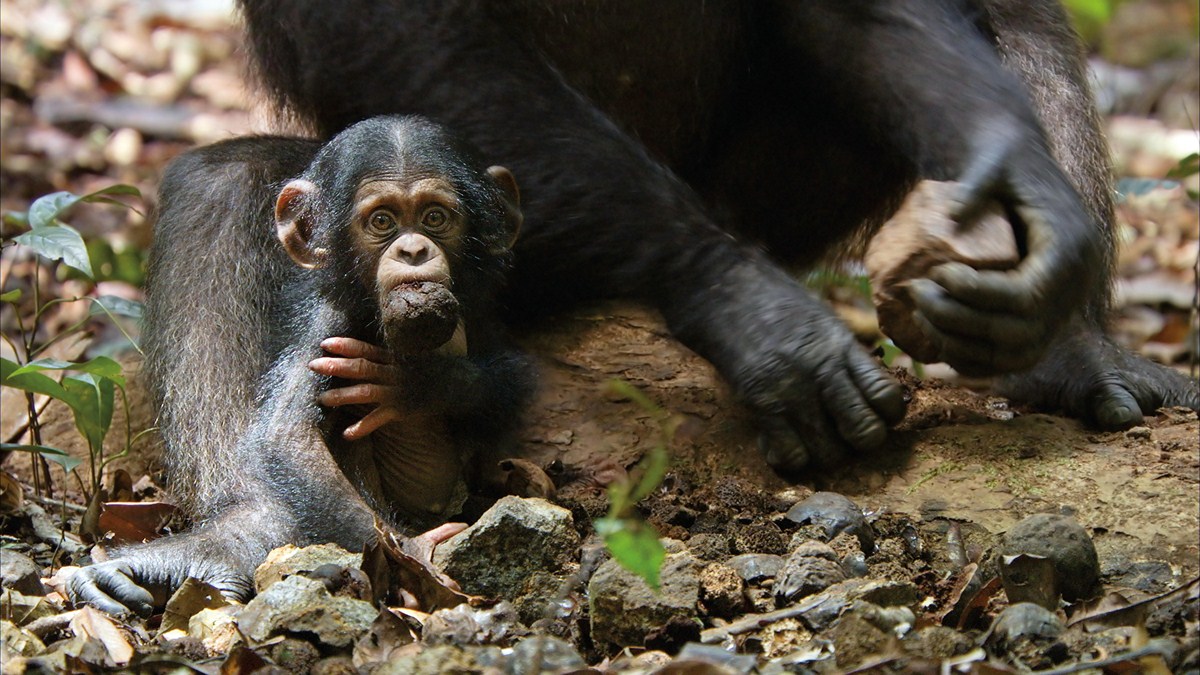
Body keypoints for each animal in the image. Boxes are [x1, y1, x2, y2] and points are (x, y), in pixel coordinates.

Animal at [69, 117, 530, 614]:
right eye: (382, 221)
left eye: (435, 217)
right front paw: (412, 558)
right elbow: (288, 438)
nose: (412, 250)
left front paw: (417, 385)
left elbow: (510, 382)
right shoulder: (325, 324)